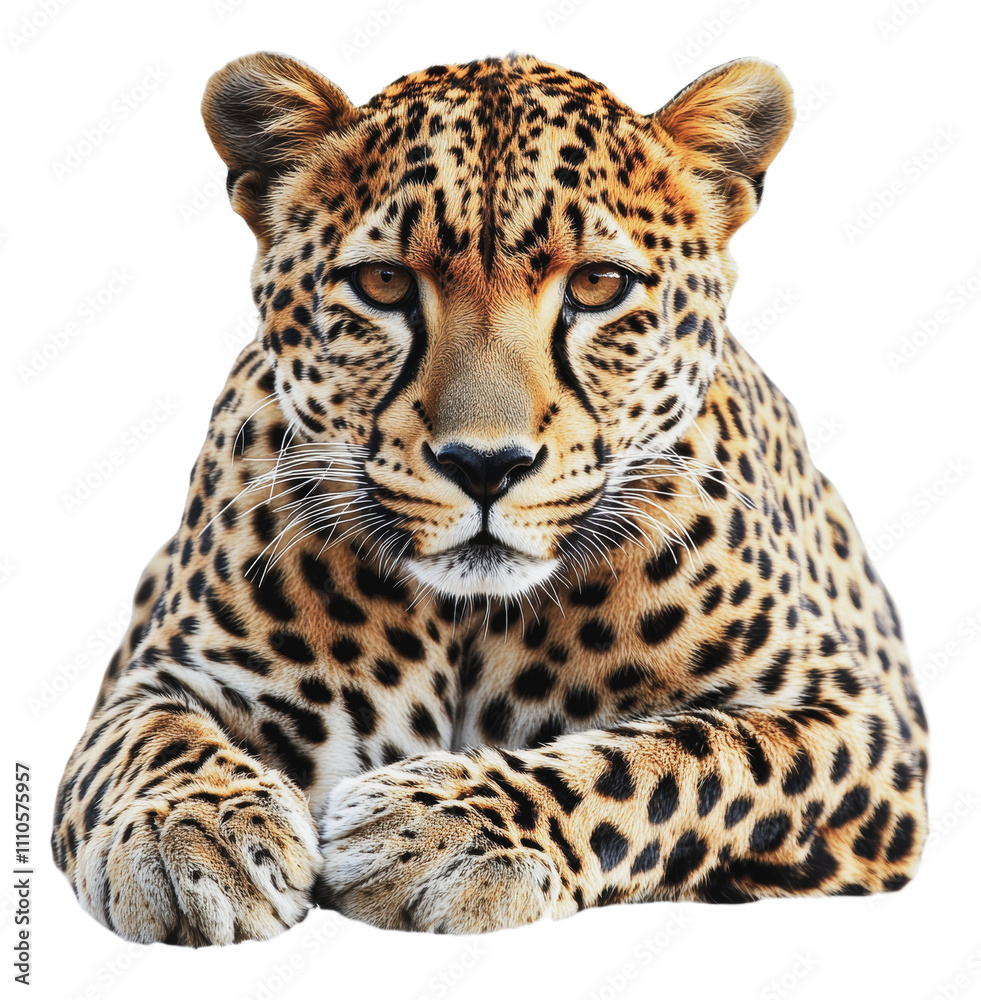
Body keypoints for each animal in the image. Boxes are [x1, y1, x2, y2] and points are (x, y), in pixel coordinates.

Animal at [52, 51, 929, 945]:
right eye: (383, 283)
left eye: (598, 284)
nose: (484, 464)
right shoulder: (161, 672)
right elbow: (148, 738)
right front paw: (189, 837)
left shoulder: (849, 716)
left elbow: (676, 761)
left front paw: (436, 828)